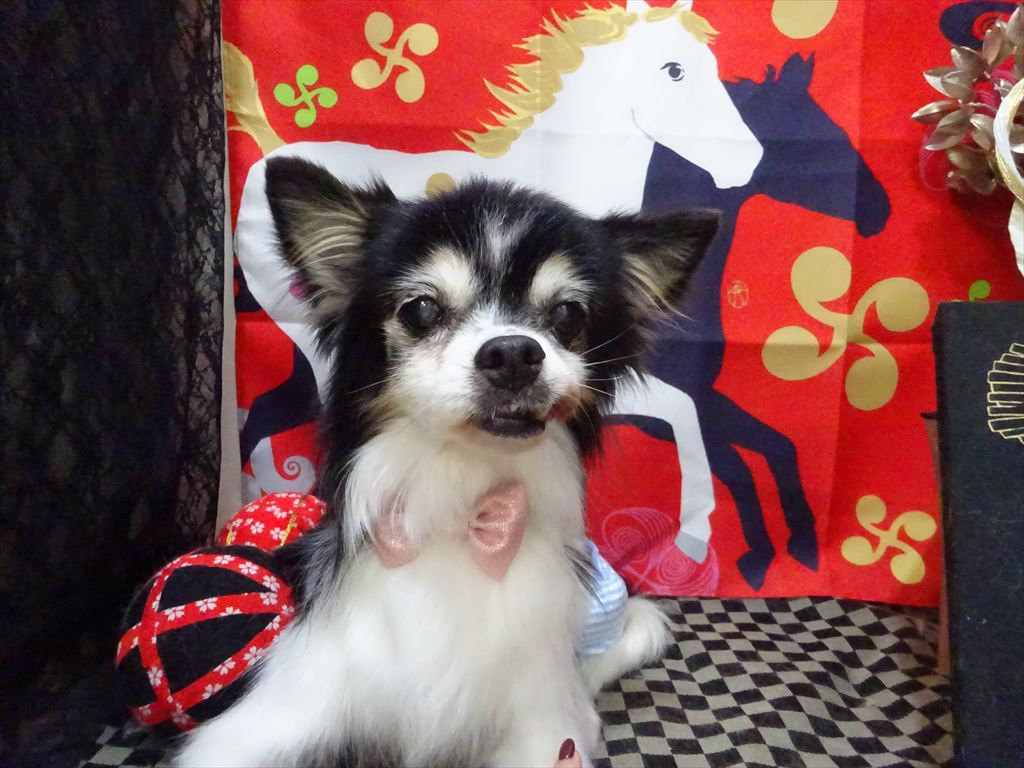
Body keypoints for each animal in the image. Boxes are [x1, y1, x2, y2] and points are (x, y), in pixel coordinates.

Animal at [174, 157, 718, 767]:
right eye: (421, 309)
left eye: (566, 314)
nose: (514, 352)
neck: (463, 505)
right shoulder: (271, 717)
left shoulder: (548, 728)